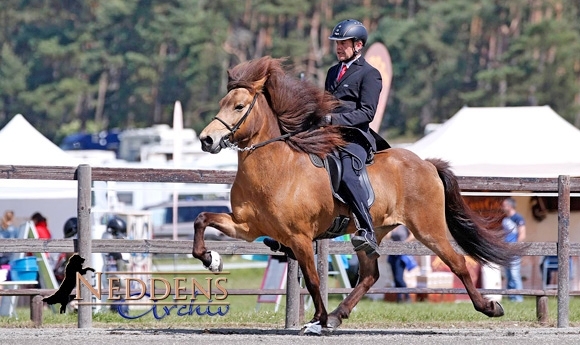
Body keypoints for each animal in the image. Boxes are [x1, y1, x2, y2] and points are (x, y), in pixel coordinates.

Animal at [193, 55, 528, 334]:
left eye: (238, 107)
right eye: (223, 102)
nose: (206, 140)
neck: (275, 169)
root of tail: (426, 164)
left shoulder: (300, 237)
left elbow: (313, 279)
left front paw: (317, 320)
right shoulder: (247, 227)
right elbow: (202, 218)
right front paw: (212, 259)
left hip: (428, 227)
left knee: (457, 262)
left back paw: (490, 307)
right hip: (373, 231)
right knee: (369, 275)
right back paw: (338, 315)